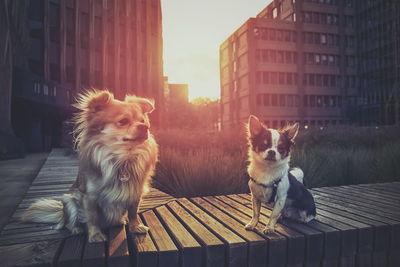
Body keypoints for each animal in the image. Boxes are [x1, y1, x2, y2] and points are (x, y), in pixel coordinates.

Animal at [22, 91, 159, 244]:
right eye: (123, 121)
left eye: (143, 121)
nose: (145, 127)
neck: (121, 158)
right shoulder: (89, 197)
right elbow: (93, 218)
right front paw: (95, 235)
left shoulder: (135, 193)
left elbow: (133, 212)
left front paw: (136, 226)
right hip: (69, 201)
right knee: (69, 222)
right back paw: (76, 229)